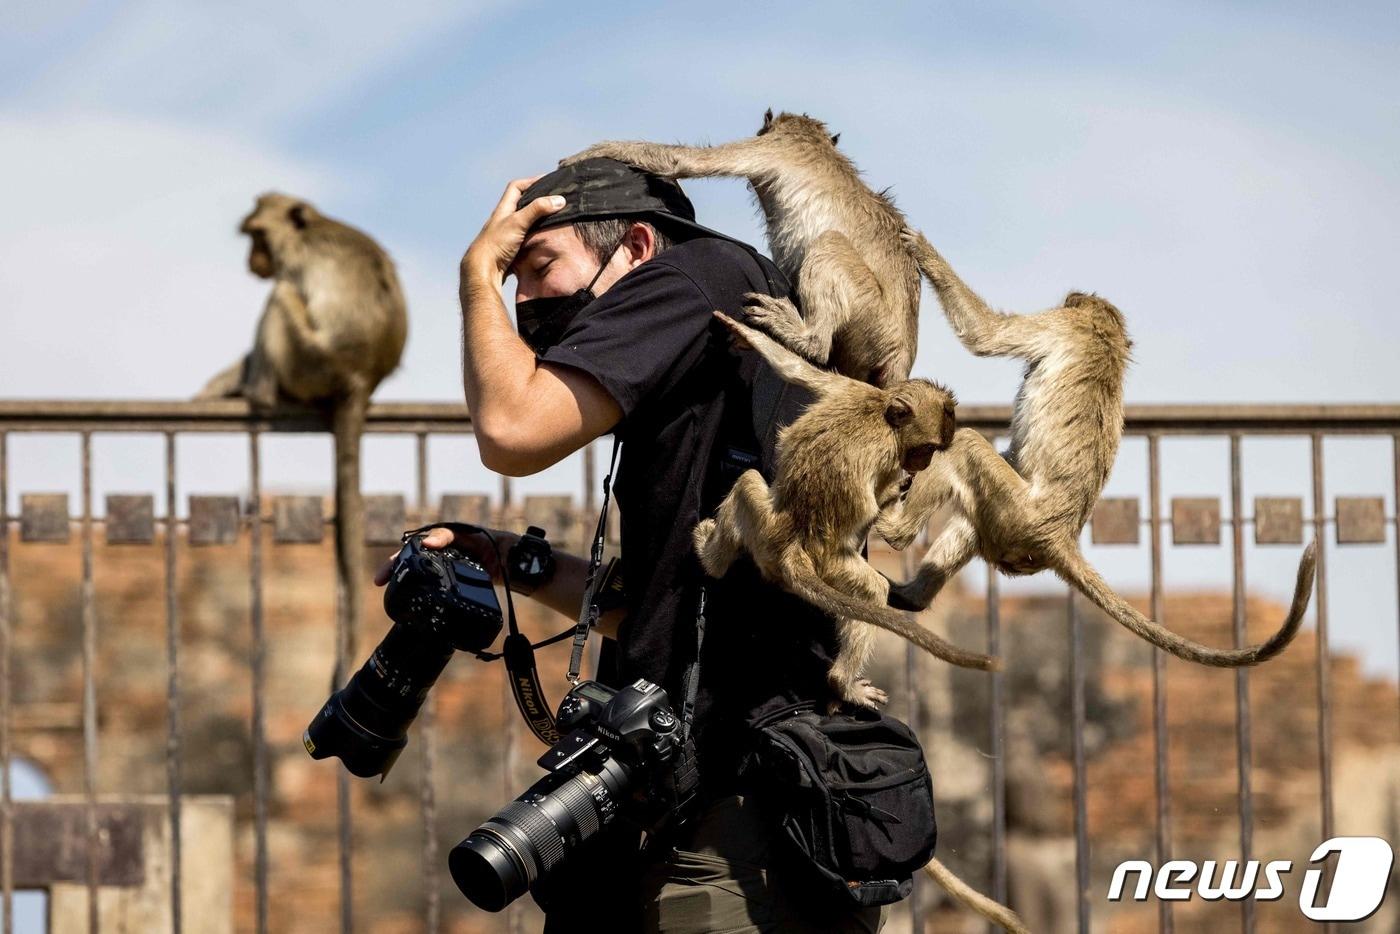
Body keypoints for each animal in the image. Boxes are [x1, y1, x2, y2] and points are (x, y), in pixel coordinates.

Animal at [197, 196, 408, 680]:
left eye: (258, 235)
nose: (252, 260)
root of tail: (359, 379)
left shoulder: (294, 265)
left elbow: (282, 293)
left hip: (309, 360)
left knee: (279, 297)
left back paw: (258, 392)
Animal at [562, 108, 924, 386]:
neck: (813, 139)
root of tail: (901, 350)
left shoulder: (776, 146)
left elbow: (684, 162)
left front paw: (590, 153)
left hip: (870, 316)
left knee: (830, 244)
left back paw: (807, 338)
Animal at [691, 310, 996, 711]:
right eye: (926, 449)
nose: (924, 464)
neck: (882, 415)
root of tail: (792, 548)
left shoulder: (852, 390)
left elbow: (795, 370)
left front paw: (747, 333)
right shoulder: (886, 450)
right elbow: (884, 523)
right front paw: (896, 494)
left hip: (764, 530)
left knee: (747, 484)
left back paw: (712, 560)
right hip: (828, 565)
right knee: (870, 590)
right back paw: (842, 682)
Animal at [879, 229, 1316, 669]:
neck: (1106, 334)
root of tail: (1059, 536)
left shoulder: (1062, 325)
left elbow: (985, 335)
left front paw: (922, 249)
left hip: (1018, 514)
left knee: (965, 445)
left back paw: (894, 530)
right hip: (1011, 526)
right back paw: (911, 597)